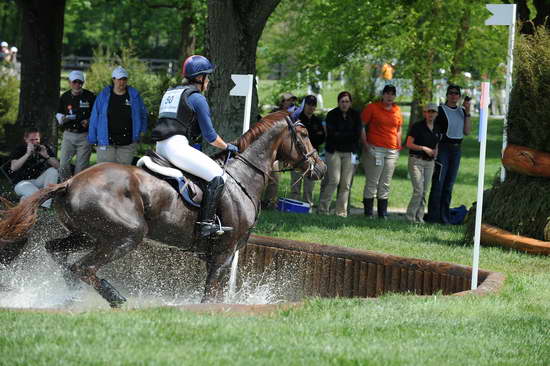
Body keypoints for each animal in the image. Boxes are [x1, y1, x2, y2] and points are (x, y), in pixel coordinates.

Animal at [0, 111, 328, 306]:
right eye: (304, 134)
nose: (321, 168)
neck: (242, 177)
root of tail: (70, 181)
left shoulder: (217, 255)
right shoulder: (223, 253)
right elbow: (210, 294)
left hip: (87, 234)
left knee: (59, 255)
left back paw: (69, 298)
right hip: (126, 235)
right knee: (84, 267)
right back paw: (114, 298)